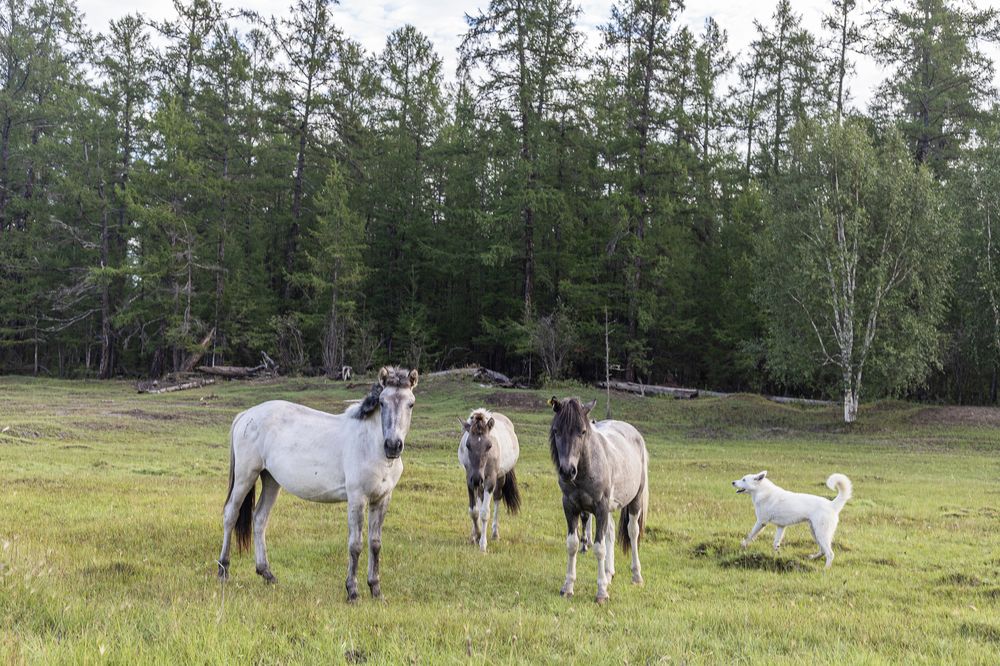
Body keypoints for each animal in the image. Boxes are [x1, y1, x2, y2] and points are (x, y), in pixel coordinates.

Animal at [216, 366, 418, 602]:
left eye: (410, 404)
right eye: (383, 402)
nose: (393, 445)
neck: (371, 444)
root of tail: (246, 414)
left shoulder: (382, 498)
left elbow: (375, 544)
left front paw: (376, 590)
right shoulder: (357, 498)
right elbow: (355, 545)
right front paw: (353, 592)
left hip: (271, 480)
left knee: (259, 519)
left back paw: (267, 574)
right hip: (245, 476)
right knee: (231, 514)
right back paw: (223, 570)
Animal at [457, 408, 521, 551]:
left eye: (489, 445)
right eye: (468, 445)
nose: (477, 479)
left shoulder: (489, 480)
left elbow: (485, 513)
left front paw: (482, 544)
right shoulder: (469, 479)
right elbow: (474, 511)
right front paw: (476, 535)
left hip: (499, 478)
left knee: (497, 498)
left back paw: (495, 534)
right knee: (480, 499)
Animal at [548, 396, 649, 604]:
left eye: (582, 431)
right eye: (556, 430)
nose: (567, 471)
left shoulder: (601, 508)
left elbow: (599, 547)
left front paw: (601, 592)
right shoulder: (570, 507)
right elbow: (572, 544)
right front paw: (567, 587)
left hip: (635, 501)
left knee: (632, 532)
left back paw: (636, 576)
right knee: (610, 531)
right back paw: (609, 573)